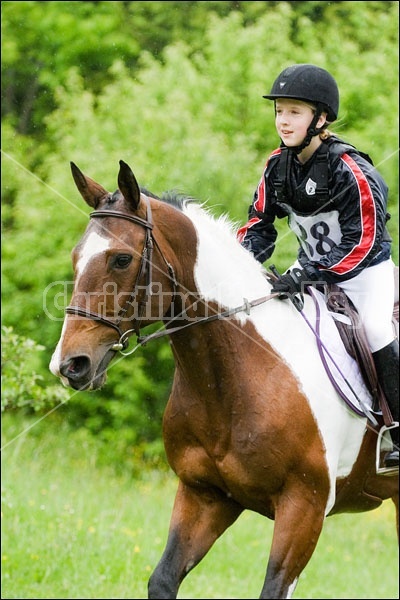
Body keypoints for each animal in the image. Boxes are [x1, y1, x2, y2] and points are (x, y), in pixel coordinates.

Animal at [51, 161, 398, 600]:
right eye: (76, 257)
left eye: (121, 260)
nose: (70, 364)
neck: (234, 379)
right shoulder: (206, 495)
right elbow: (162, 579)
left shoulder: (304, 506)